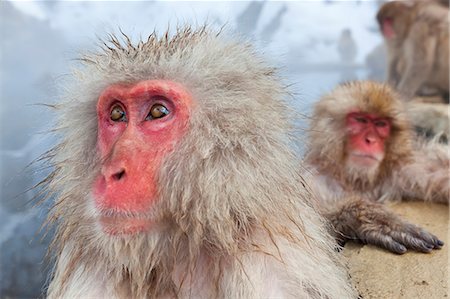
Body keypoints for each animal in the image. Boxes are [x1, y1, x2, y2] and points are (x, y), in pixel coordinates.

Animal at [306, 82, 450, 255]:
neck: (356, 179)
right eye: (360, 120)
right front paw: (368, 218)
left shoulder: (403, 169)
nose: (370, 140)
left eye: (381, 124)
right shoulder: (313, 179)